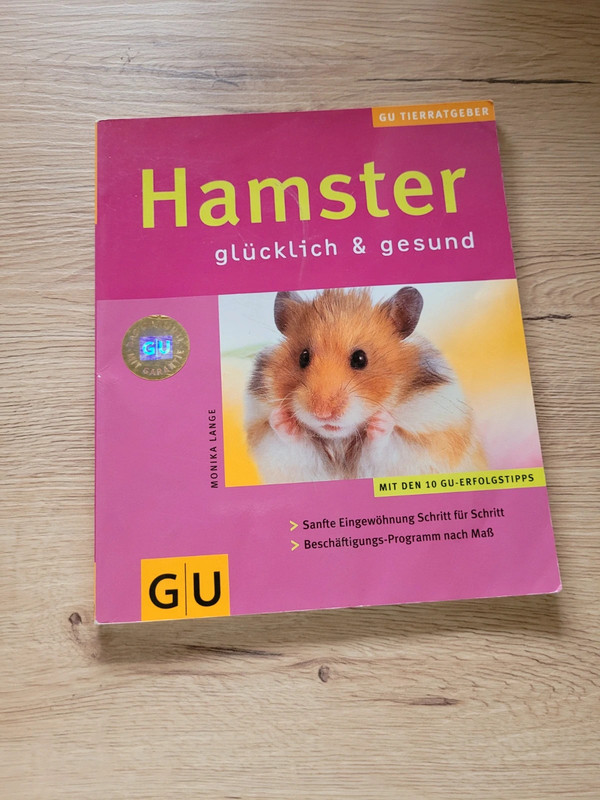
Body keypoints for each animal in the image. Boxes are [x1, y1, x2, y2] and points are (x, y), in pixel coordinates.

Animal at [245, 287, 486, 484]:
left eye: (360, 359)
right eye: (303, 357)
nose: (322, 413)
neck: (340, 441)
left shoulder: (425, 445)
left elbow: (383, 445)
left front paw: (381, 420)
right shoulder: (284, 458)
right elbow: (291, 442)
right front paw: (282, 418)